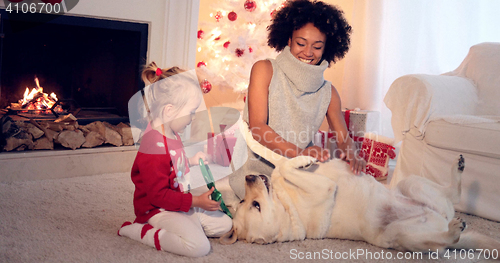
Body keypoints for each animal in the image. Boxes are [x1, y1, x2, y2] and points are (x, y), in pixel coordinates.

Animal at [223, 121, 500, 254]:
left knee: (453, 194)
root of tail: (441, 221)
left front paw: (247, 131)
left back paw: (458, 167)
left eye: (247, 203)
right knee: (446, 239)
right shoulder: (324, 187)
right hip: (399, 234)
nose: (250, 179)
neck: (288, 204)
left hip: (411, 184)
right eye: (254, 205)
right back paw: (454, 228)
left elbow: (276, 159)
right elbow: (280, 170)